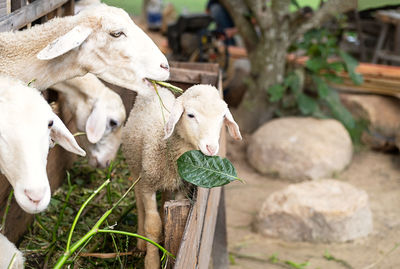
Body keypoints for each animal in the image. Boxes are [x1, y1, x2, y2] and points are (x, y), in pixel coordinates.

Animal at [121, 83, 241, 266]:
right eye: (191, 115)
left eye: (222, 117)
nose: (211, 148)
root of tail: (156, 88)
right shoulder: (148, 184)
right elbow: (152, 226)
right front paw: (152, 262)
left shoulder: (182, 188)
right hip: (135, 167)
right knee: (139, 203)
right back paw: (141, 241)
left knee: (164, 195)